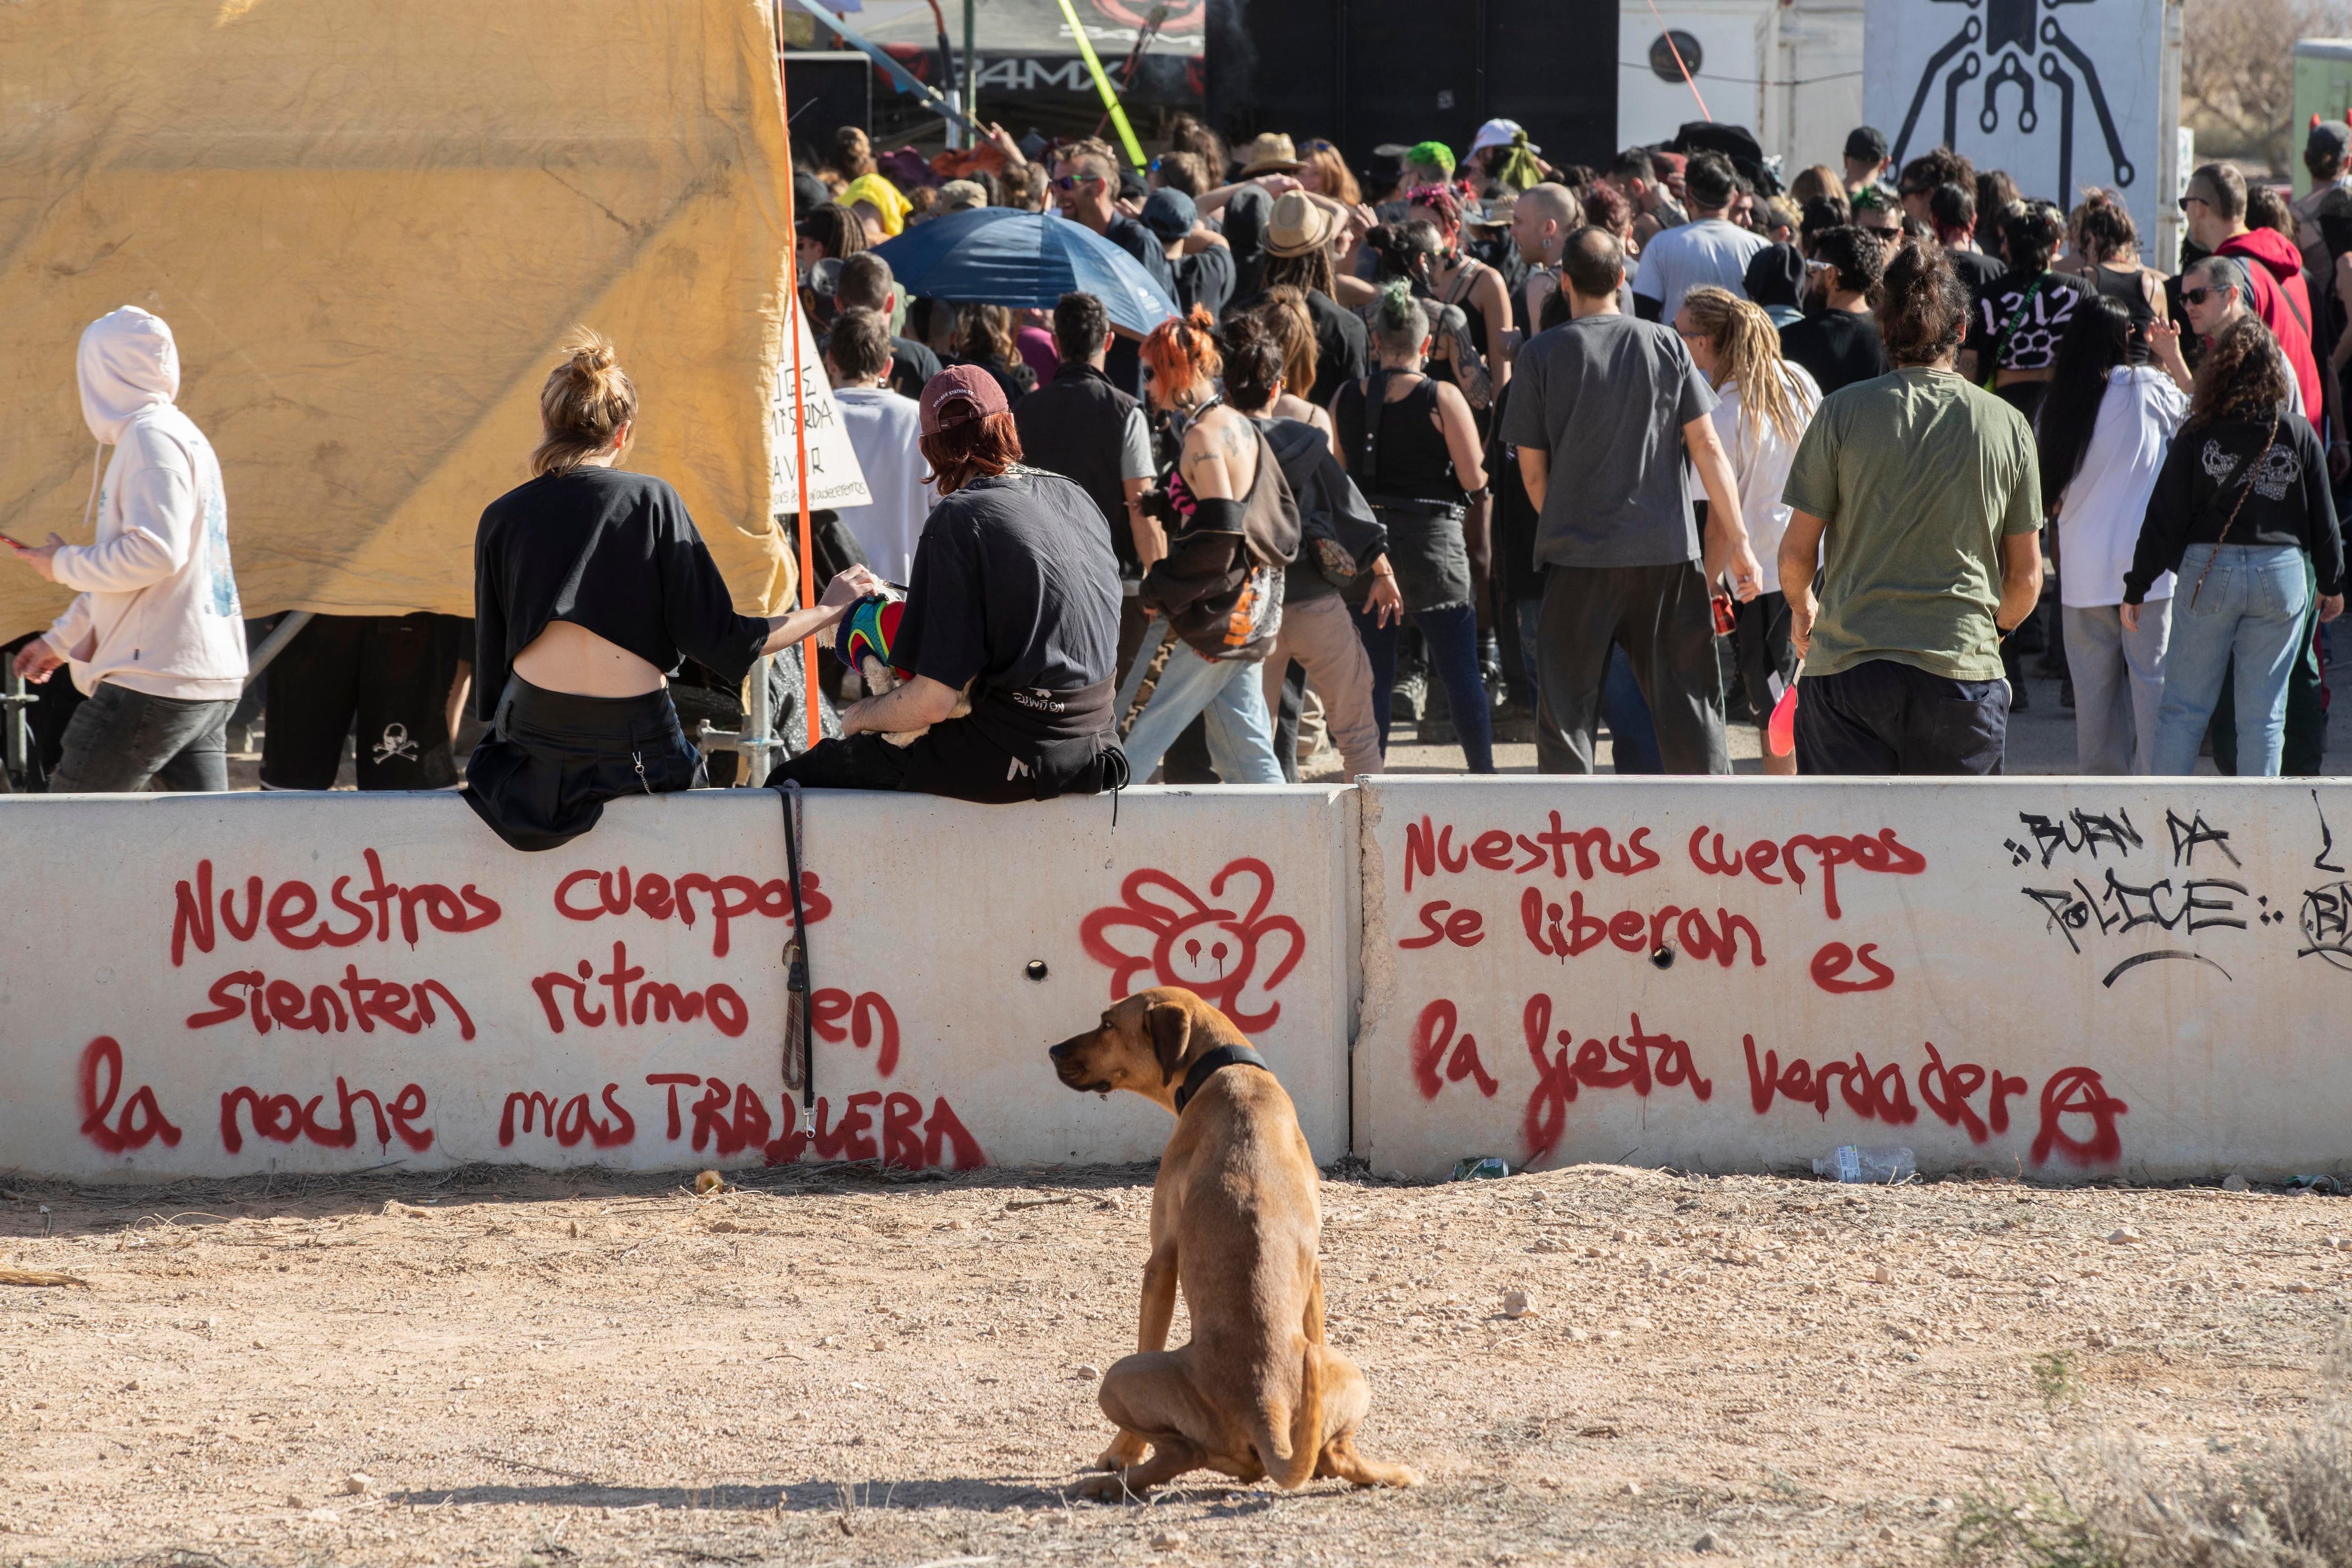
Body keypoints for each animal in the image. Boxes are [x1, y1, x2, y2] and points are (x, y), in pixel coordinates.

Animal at [1049, 987, 1411, 1504]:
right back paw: (1392, 1471)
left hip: (1117, 1378)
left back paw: (1107, 1480)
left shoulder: (1162, 1261)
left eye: (1107, 1024)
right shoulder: (1316, 1271)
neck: (1225, 1070)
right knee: (1334, 1453)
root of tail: (1266, 1408)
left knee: (1184, 1452)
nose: (1052, 1051)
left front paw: (1121, 1451)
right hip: (1351, 1375)